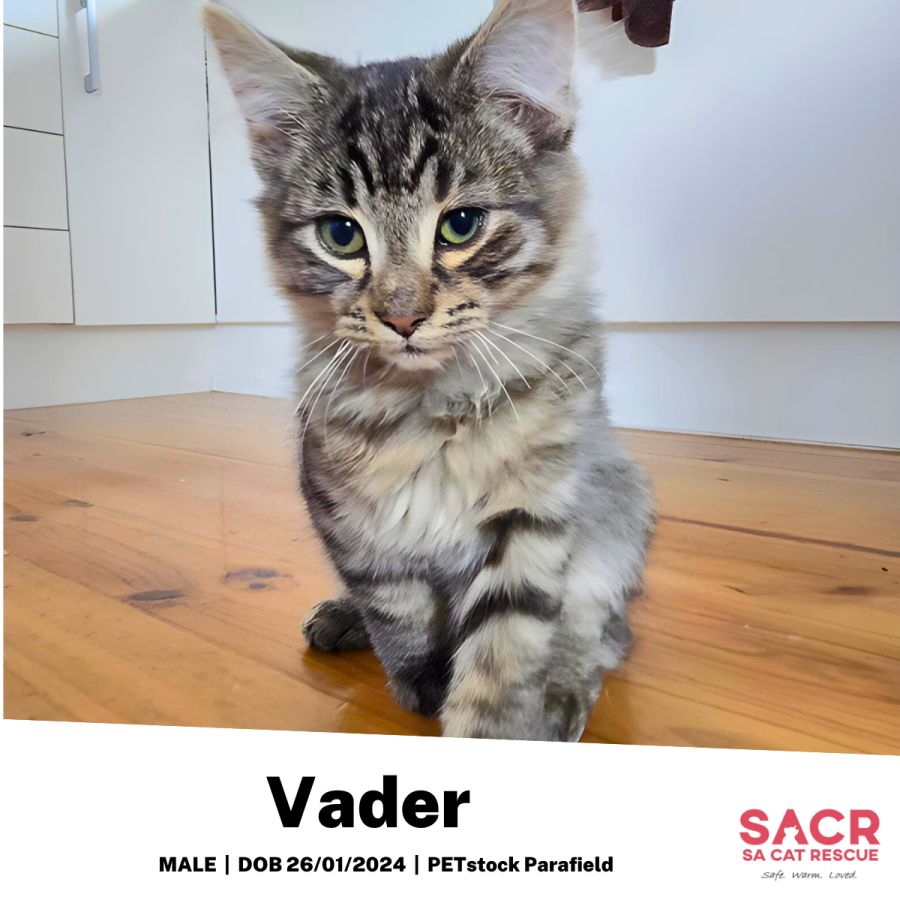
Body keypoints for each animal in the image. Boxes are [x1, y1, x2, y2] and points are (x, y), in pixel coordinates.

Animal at [204, 0, 655, 741]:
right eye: (340, 236)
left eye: (461, 225)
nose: (403, 317)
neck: (433, 405)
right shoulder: (349, 516)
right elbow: (396, 610)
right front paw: (417, 677)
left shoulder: (534, 516)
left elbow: (505, 657)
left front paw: (491, 724)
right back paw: (340, 617)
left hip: (619, 508)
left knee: (601, 630)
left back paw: (563, 697)